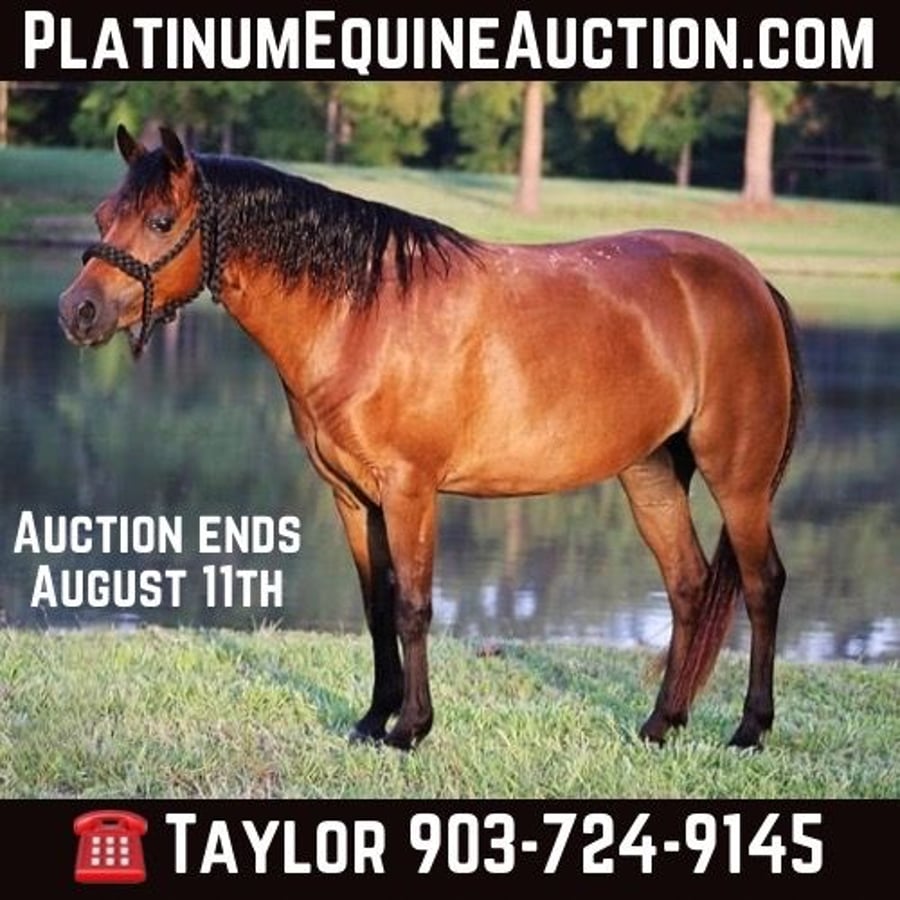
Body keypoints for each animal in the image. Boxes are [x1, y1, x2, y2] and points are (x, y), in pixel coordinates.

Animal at [58, 125, 803, 752]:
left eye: (161, 221)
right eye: (101, 216)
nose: (77, 312)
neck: (361, 314)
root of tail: (752, 281)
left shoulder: (411, 491)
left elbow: (415, 605)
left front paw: (410, 728)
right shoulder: (353, 497)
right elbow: (377, 604)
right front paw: (371, 719)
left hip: (738, 480)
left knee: (762, 584)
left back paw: (750, 730)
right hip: (649, 474)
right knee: (688, 585)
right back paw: (660, 723)